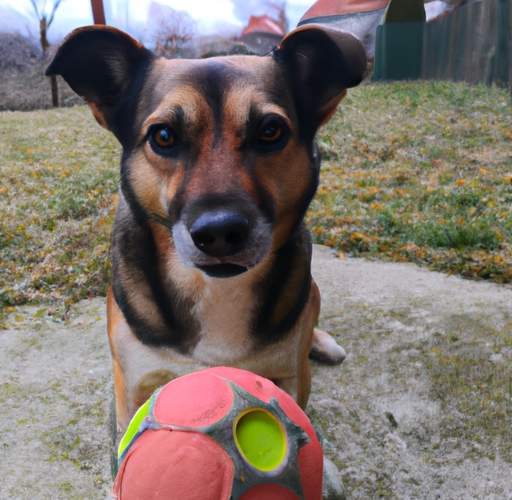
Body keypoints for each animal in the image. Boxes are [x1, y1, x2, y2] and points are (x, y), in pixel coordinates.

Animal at [47, 25, 368, 430]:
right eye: (163, 136)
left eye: (271, 130)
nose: (219, 233)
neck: (214, 290)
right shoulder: (132, 384)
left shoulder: (292, 380)